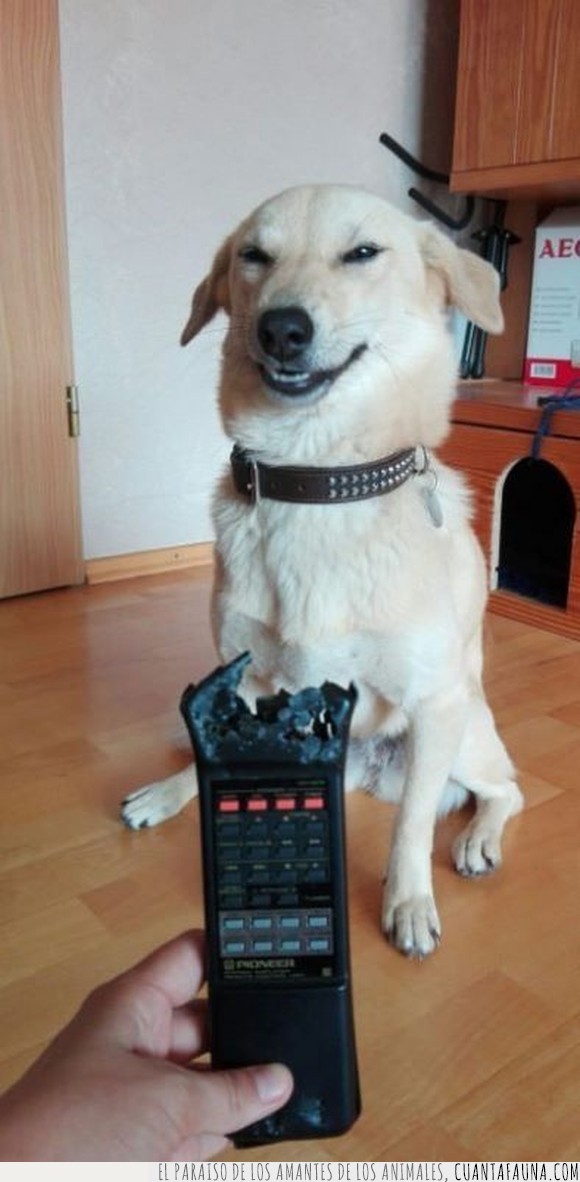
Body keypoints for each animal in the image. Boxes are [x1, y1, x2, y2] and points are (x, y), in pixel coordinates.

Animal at [121, 184, 523, 957]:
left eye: (362, 252)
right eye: (253, 256)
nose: (282, 329)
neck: (318, 481)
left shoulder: (434, 702)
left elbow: (410, 827)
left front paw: (407, 903)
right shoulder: (246, 677)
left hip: (464, 732)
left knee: (503, 790)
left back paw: (478, 840)